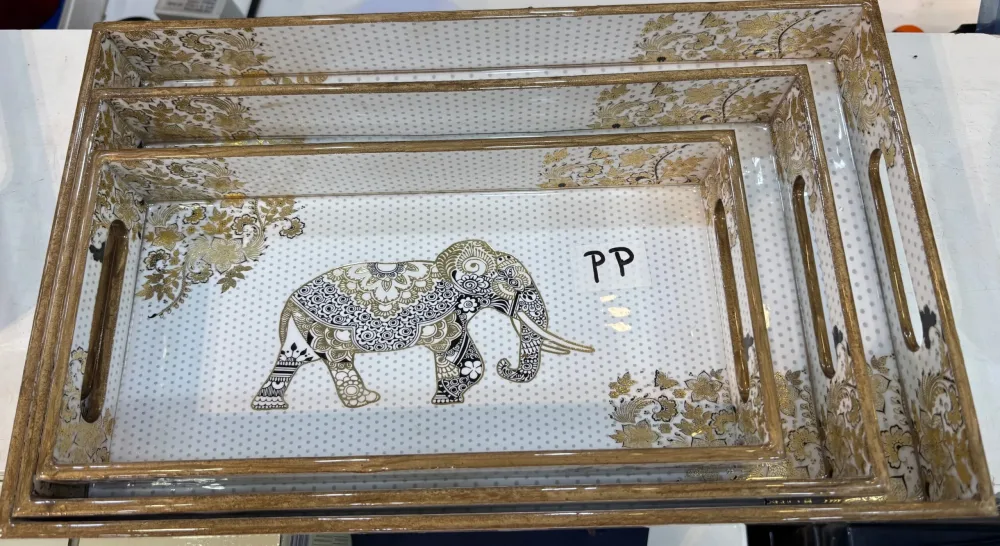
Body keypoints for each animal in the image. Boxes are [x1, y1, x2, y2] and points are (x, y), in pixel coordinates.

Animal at [251, 240, 593, 409]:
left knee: (294, 362)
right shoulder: (447, 315)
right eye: (511, 283)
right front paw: (447, 397)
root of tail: (288, 304)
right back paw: (364, 401)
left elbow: (468, 356)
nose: (505, 365)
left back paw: (271, 404)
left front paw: (450, 396)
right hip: (325, 331)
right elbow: (456, 354)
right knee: (335, 362)